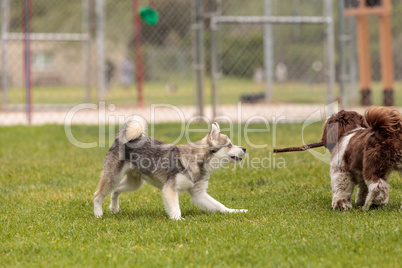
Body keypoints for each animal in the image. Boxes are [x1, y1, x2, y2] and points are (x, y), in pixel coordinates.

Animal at [93, 117, 248, 220]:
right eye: (229, 145)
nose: (244, 148)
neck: (198, 161)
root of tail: (120, 139)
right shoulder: (170, 189)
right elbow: (176, 209)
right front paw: (179, 220)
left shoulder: (198, 193)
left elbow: (220, 206)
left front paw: (235, 211)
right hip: (112, 178)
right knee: (97, 195)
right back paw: (98, 214)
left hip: (134, 184)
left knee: (116, 191)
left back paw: (114, 208)